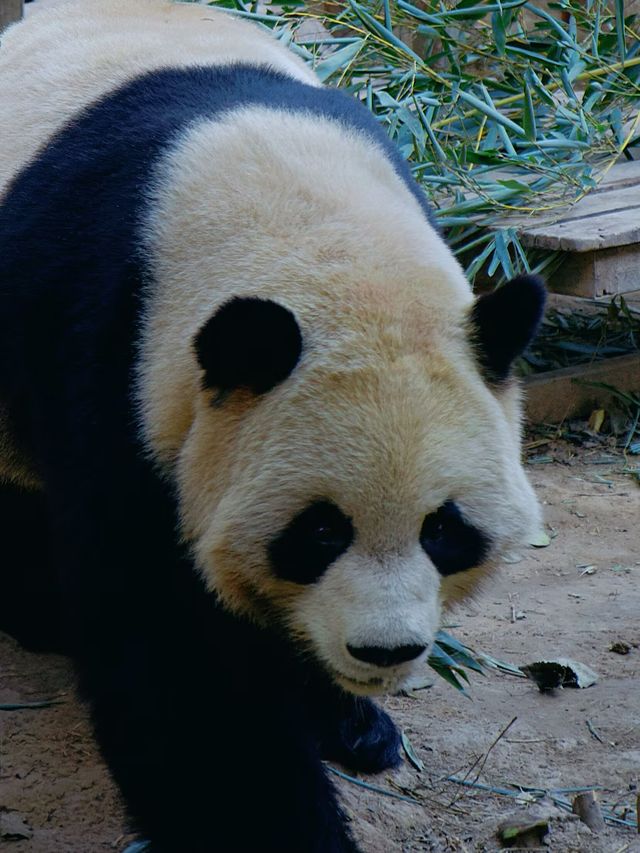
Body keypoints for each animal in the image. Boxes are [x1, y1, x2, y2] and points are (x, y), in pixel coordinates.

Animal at [0, 0, 544, 848]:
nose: (385, 648)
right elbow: (174, 657)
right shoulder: (115, 359)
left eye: (444, 529)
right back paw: (39, 612)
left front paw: (347, 718)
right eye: (319, 530)